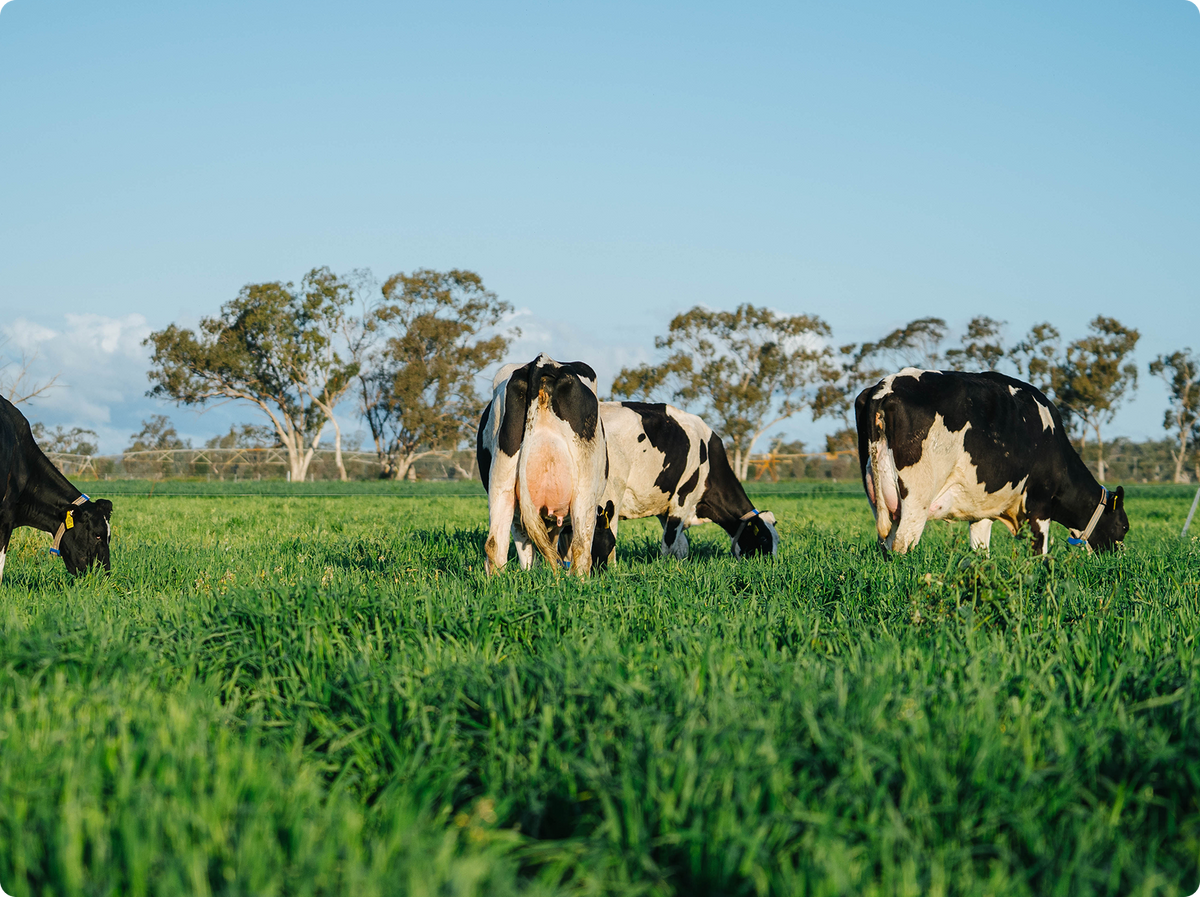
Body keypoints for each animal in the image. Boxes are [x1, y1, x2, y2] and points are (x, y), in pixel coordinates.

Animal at [476, 354, 607, 576]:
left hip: (501, 482)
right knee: (581, 546)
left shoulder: (519, 517)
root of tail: (543, 361)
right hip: (585, 488)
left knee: (494, 545)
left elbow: (528, 554)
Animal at [579, 401, 779, 567]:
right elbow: (669, 543)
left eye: (777, 539)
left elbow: (682, 546)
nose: (772, 565)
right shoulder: (682, 500)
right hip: (609, 497)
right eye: (763, 538)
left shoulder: (664, 509)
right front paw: (663, 569)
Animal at [854, 368, 1129, 555]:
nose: (1118, 557)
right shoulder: (1039, 506)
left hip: (880, 500)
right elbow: (1040, 554)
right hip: (915, 500)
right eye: (1123, 526)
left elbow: (980, 552)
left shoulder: (981, 510)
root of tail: (885, 388)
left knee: (886, 545)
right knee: (902, 545)